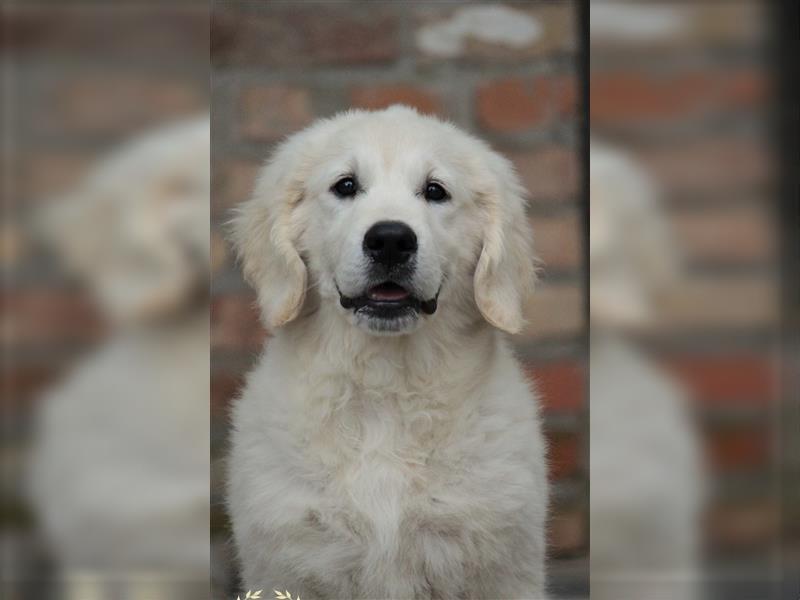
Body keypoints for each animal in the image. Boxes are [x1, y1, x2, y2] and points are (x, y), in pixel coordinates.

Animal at [225, 108, 552, 600]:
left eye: (435, 191)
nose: (392, 240)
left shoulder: (500, 569)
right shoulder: (288, 561)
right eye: (345, 185)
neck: (386, 388)